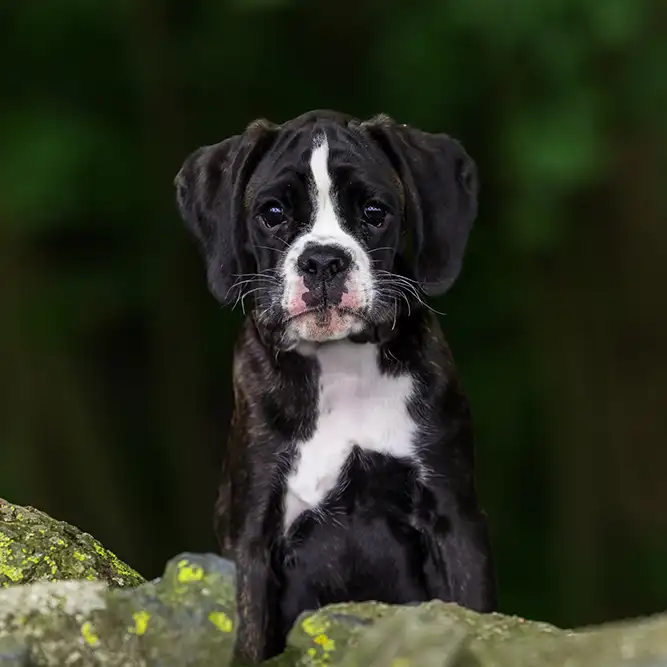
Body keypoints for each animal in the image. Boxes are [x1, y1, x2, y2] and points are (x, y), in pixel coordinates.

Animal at [175, 109, 498, 664]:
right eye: (273, 212)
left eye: (374, 211)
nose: (323, 260)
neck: (341, 367)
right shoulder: (252, 539)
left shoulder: (454, 523)